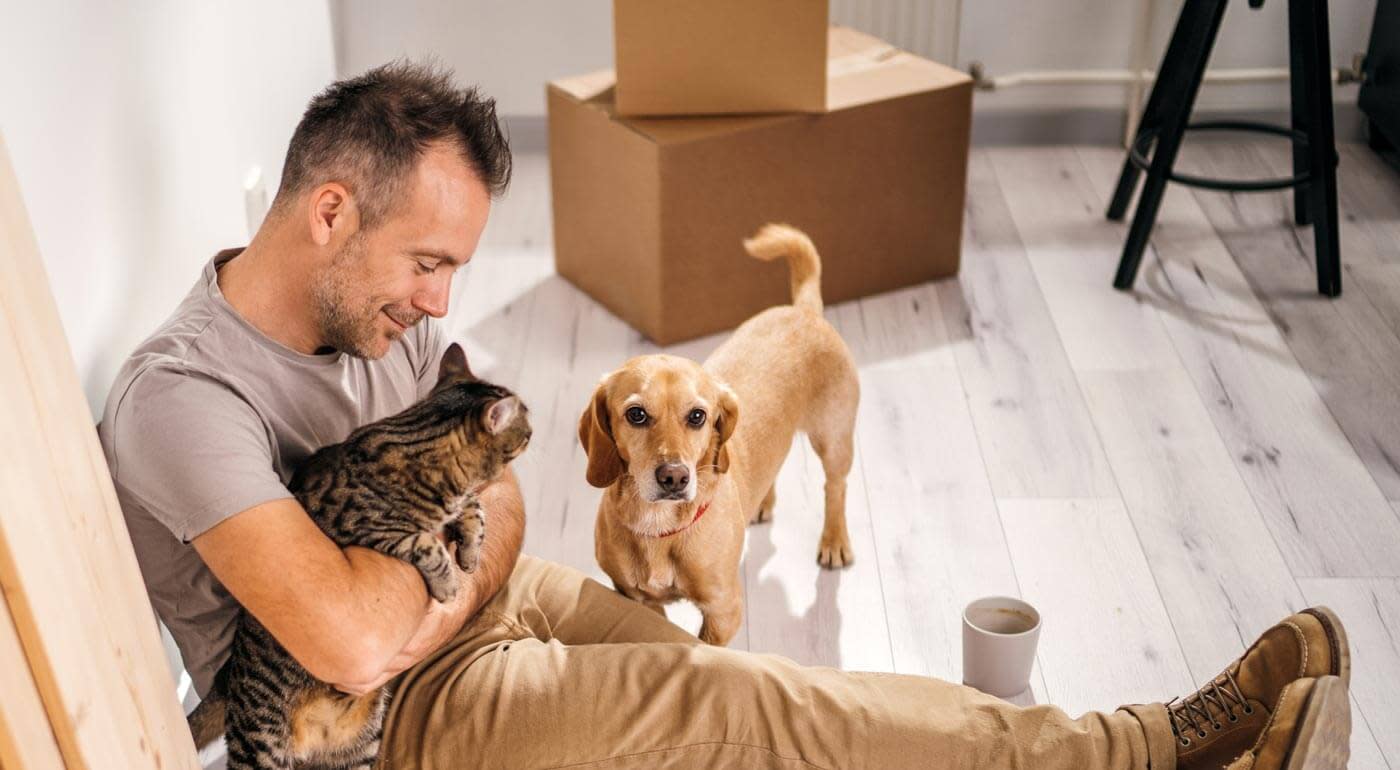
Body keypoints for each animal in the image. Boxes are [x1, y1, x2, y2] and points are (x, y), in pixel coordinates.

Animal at [186, 345, 529, 770]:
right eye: (527, 428)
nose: (532, 432)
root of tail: (227, 677)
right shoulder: (361, 530)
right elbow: (425, 543)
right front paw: (449, 582)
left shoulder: (461, 500)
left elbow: (476, 508)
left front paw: (469, 553)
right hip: (260, 744)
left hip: (358, 748)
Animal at [574, 226, 856, 649]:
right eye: (636, 414)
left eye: (698, 416)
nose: (674, 477)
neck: (659, 527)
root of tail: (804, 310)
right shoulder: (638, 601)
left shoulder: (723, 612)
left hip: (834, 440)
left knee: (835, 488)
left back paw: (834, 540)